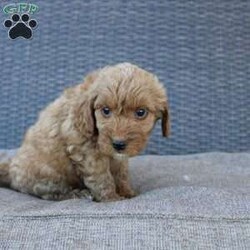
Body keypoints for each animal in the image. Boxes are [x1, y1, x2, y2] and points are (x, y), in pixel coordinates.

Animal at [0, 62, 170, 201]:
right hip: (45, 175)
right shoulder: (86, 151)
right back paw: (77, 193)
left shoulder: (118, 156)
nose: (118, 144)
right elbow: (102, 177)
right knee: (51, 192)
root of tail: (11, 168)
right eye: (106, 111)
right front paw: (112, 198)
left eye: (141, 112)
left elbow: (121, 173)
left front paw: (127, 192)